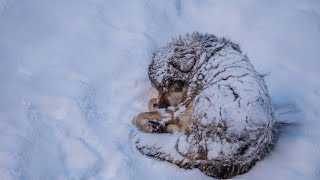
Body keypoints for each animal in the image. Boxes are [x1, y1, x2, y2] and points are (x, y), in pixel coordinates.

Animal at [132, 32, 278, 179]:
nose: (163, 105)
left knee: (185, 149)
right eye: (159, 88)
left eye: (173, 86)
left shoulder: (181, 108)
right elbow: (152, 104)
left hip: (206, 101)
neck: (203, 58)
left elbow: (140, 115)